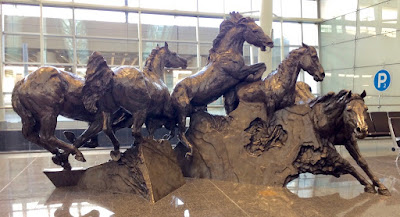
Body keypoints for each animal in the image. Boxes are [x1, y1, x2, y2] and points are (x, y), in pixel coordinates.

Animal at [170, 11, 274, 157]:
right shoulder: (239, 72)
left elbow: (230, 106)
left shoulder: (230, 89)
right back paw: (190, 151)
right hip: (182, 111)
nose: (270, 42)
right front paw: (254, 78)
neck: (228, 52)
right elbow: (261, 65)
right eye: (255, 30)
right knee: (180, 133)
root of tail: (172, 93)